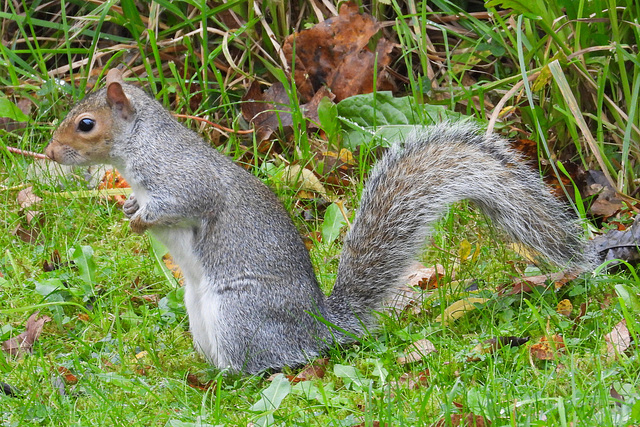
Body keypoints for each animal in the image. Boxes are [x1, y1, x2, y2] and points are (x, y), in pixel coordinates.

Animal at [45, 67, 596, 374]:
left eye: (86, 124)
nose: (49, 153)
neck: (139, 146)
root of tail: (318, 331)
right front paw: (128, 211)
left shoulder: (182, 176)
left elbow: (186, 201)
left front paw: (141, 218)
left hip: (239, 315)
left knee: (261, 364)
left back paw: (228, 379)